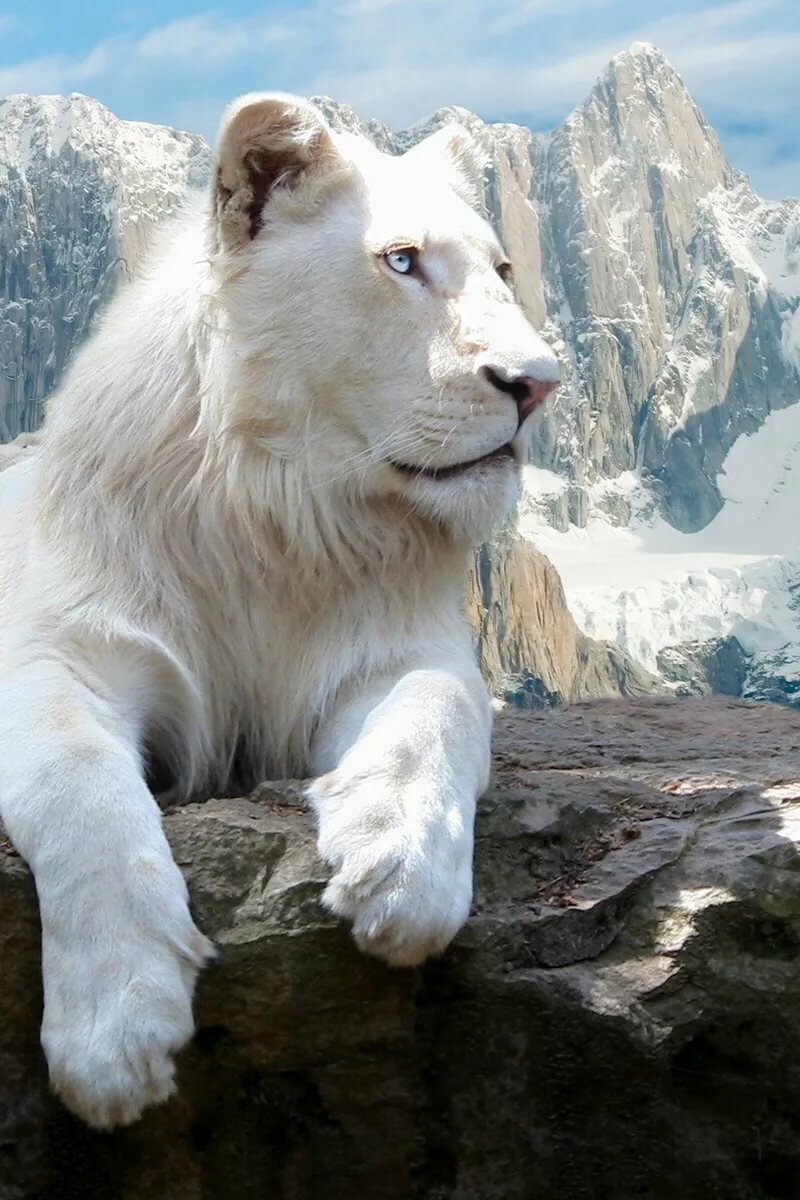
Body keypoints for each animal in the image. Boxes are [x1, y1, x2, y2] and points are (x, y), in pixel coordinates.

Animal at [0, 93, 559, 1129]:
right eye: (402, 262)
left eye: (504, 270)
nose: (540, 385)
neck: (282, 516)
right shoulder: (60, 654)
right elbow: (78, 789)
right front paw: (116, 1032)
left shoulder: (400, 649)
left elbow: (436, 712)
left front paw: (401, 868)